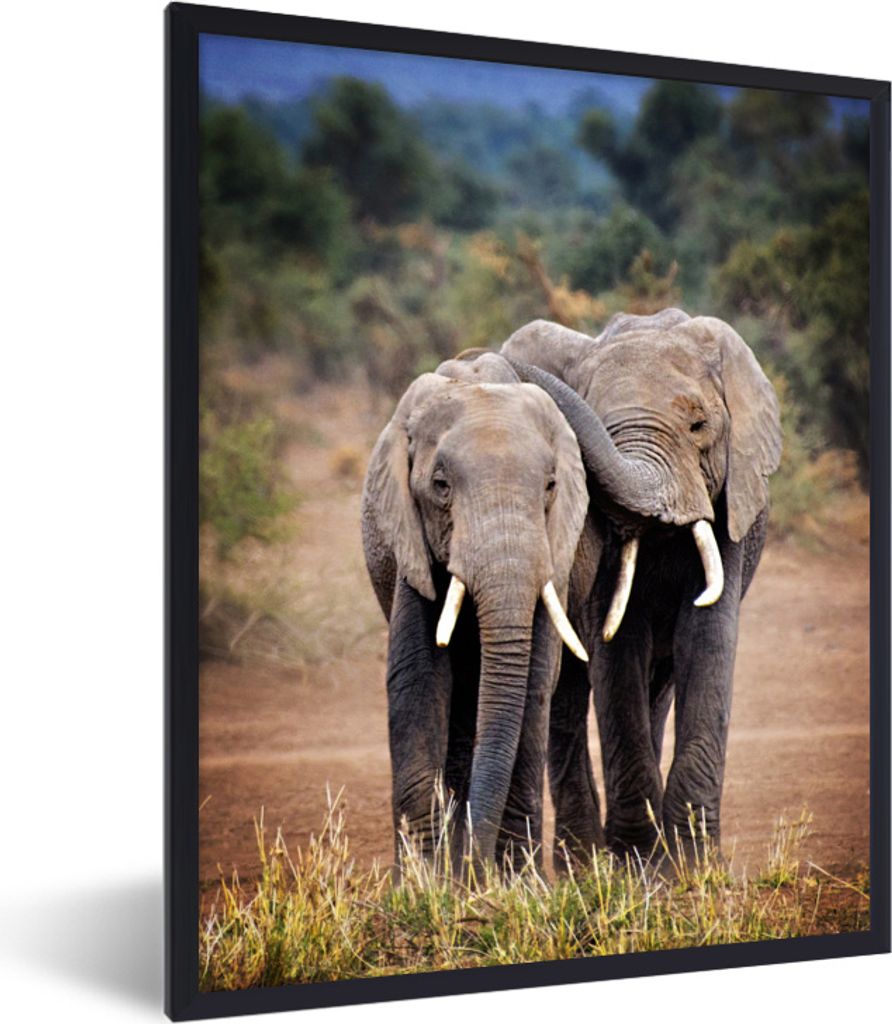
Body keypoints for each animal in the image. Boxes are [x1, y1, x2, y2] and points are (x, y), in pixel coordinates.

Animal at [361, 352, 590, 870]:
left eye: (550, 486)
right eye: (440, 486)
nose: (475, 870)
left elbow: (534, 682)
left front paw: (516, 881)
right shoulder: (412, 545)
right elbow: (418, 678)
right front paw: (423, 881)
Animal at [500, 308, 782, 864]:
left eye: (699, 426)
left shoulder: (728, 505)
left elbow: (708, 640)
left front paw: (691, 865)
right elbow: (617, 648)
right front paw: (637, 861)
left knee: (659, 686)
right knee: (567, 698)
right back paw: (583, 862)